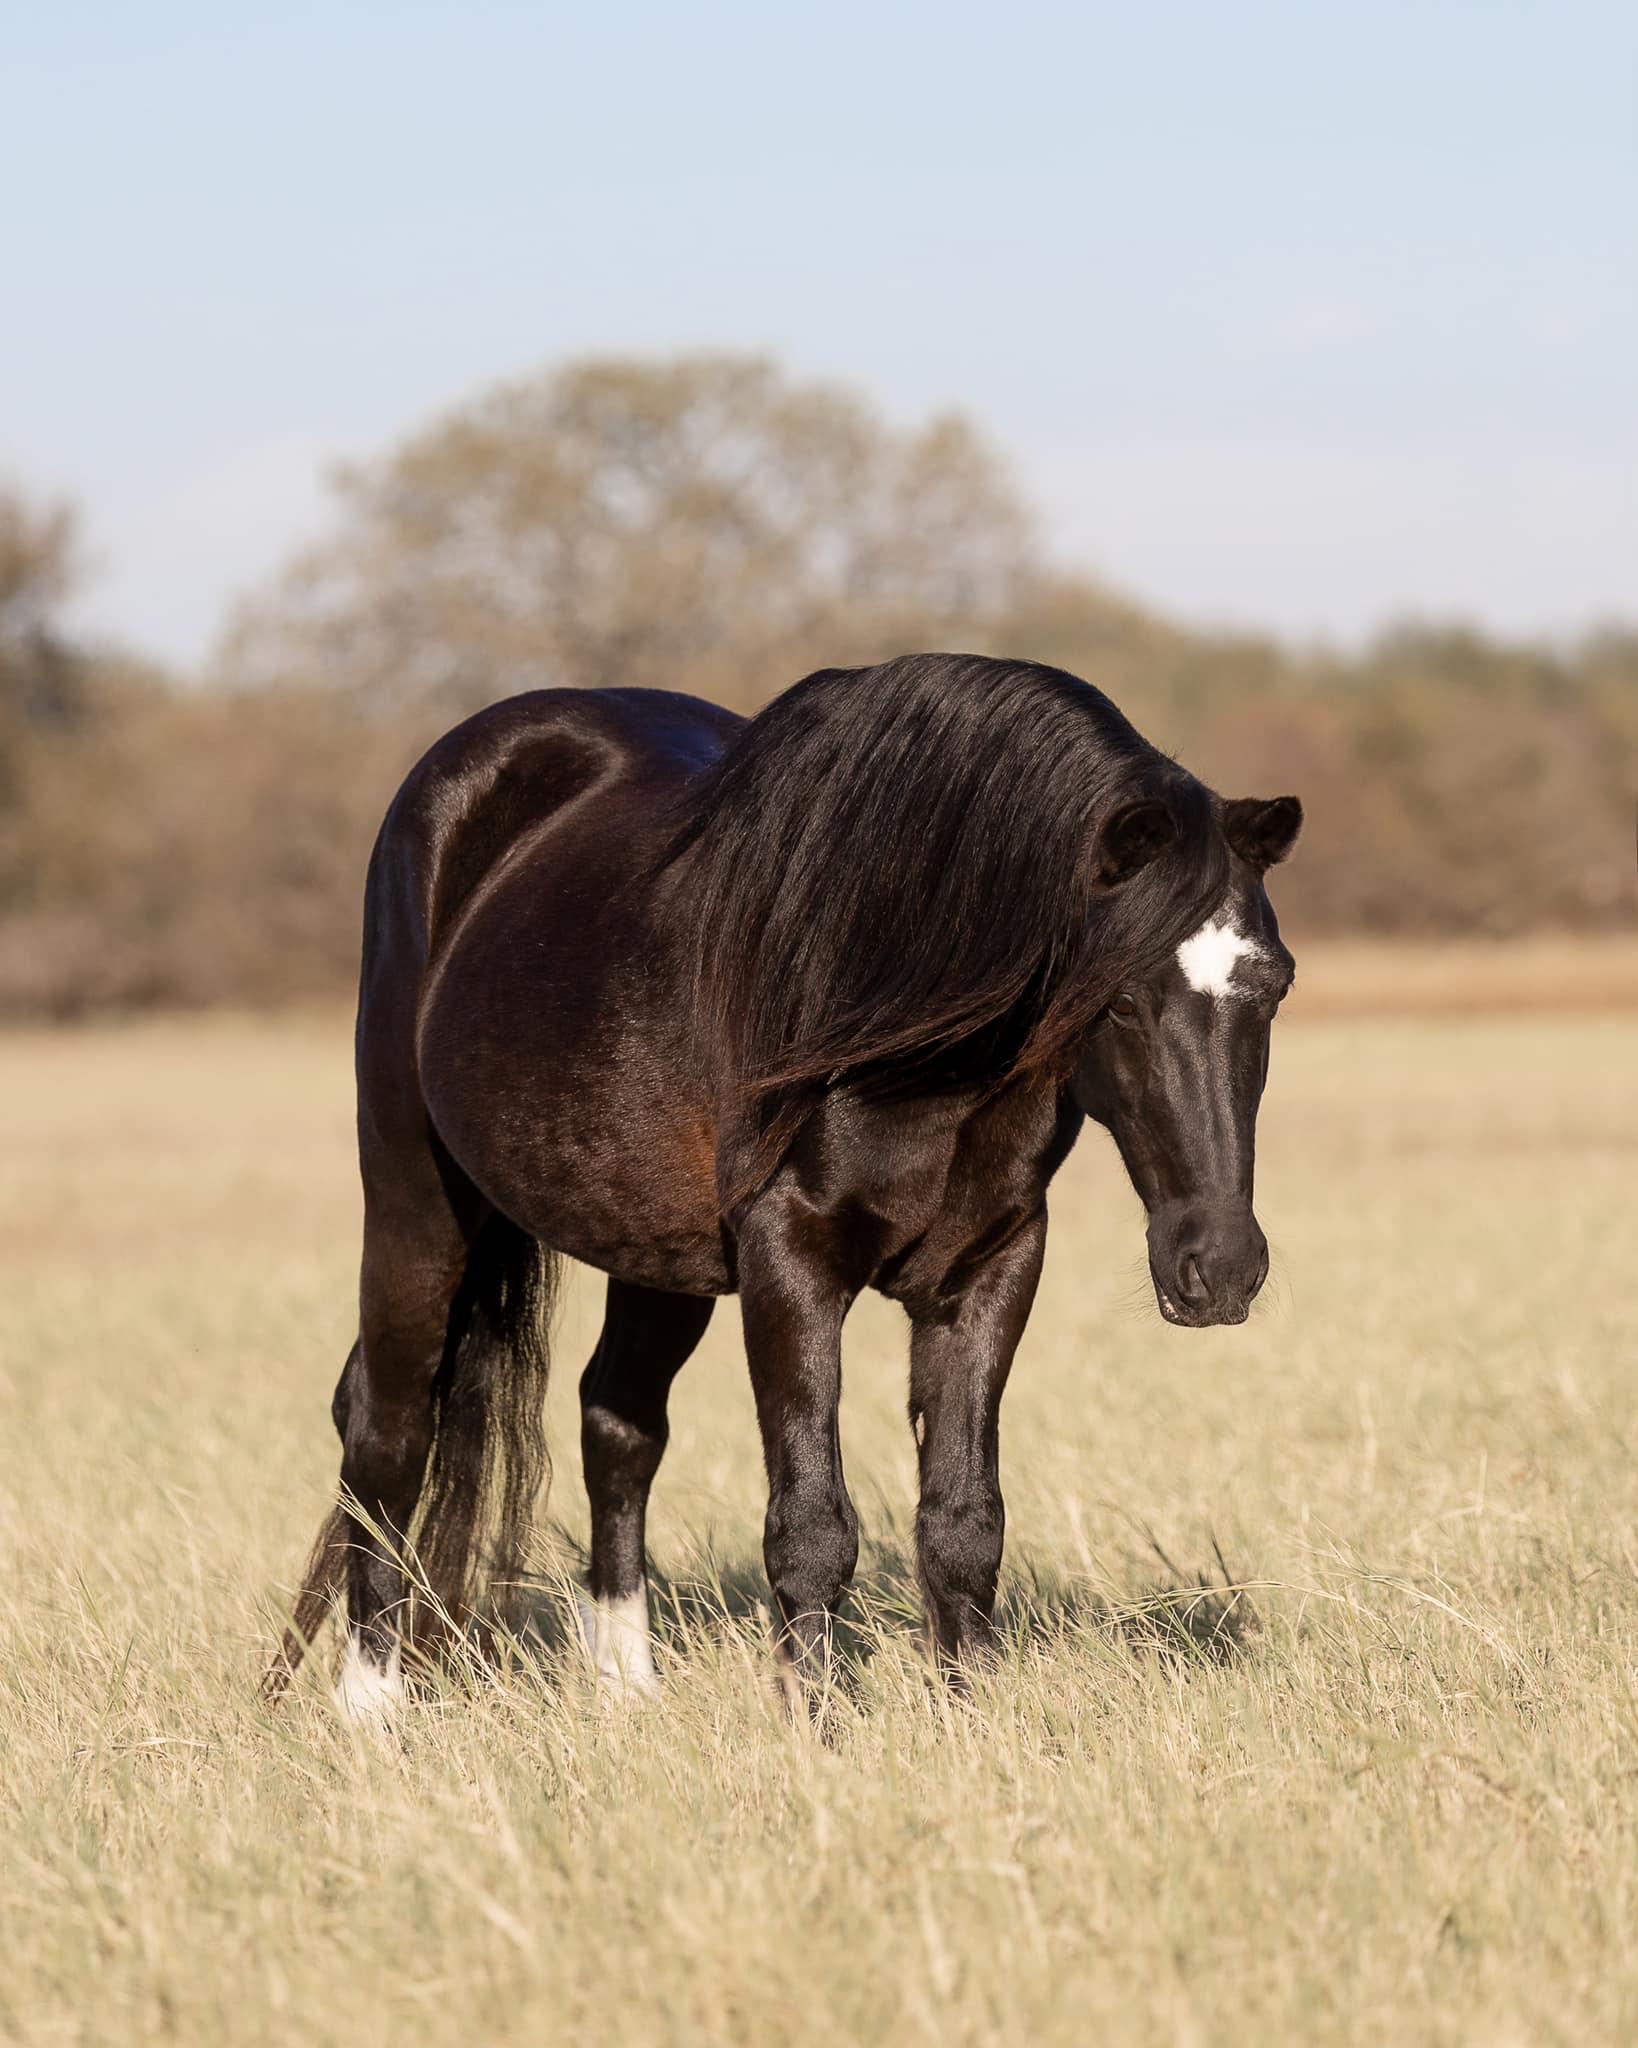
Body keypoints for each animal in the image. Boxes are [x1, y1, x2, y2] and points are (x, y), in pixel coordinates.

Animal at [265, 652, 1301, 1715]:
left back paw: (627, 1688)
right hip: (416, 1198)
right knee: (389, 1426)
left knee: (616, 1423)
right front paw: (820, 1724)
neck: (900, 1005)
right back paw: (370, 1707)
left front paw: (969, 1717)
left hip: (653, 1250)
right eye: (1122, 1000)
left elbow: (964, 1522)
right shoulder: (790, 1259)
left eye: (1274, 987)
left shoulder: (993, 1264)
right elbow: (810, 1527)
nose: (1222, 1267)